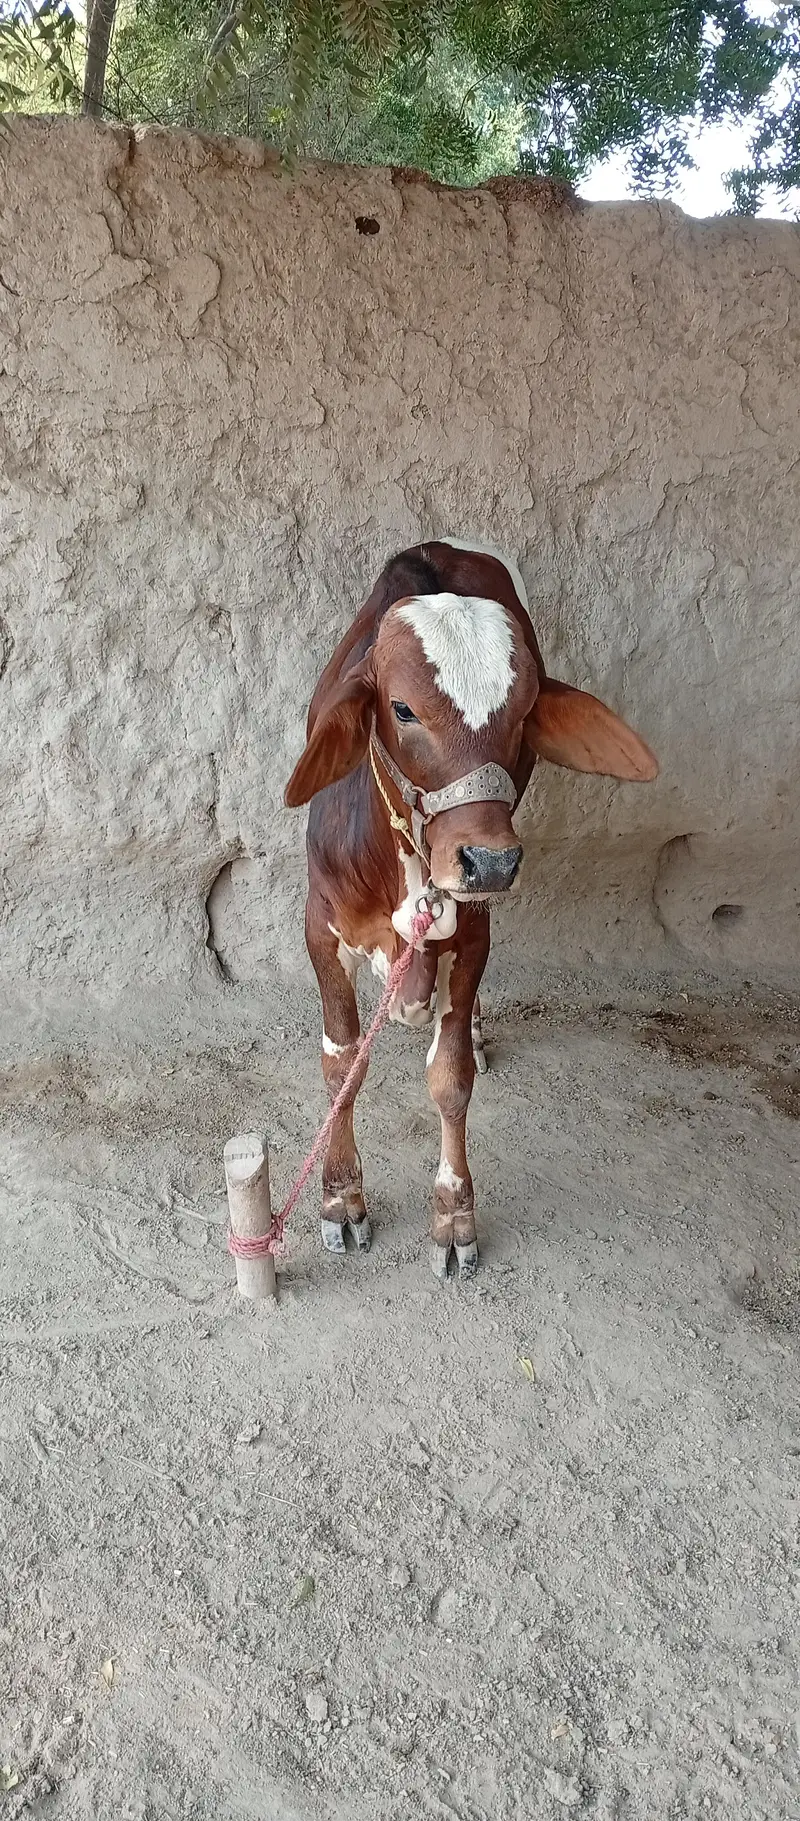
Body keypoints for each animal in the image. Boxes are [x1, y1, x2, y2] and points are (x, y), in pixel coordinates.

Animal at [285, 539, 658, 1281]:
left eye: (524, 713)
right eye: (402, 710)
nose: (489, 861)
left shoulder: (472, 935)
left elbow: (449, 1078)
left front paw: (454, 1217)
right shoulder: (321, 928)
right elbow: (342, 1066)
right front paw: (341, 1198)